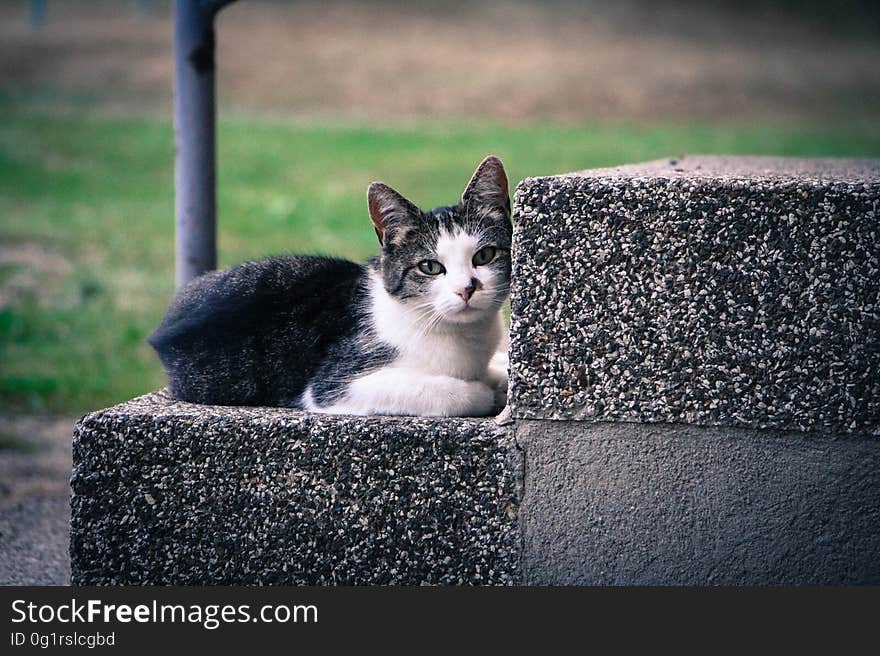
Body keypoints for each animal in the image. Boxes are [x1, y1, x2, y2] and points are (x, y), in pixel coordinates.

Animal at [148, 155, 512, 416]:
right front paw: (483, 392)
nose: (466, 288)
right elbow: (443, 391)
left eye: (484, 255)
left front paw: (498, 371)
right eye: (430, 267)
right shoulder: (333, 386)